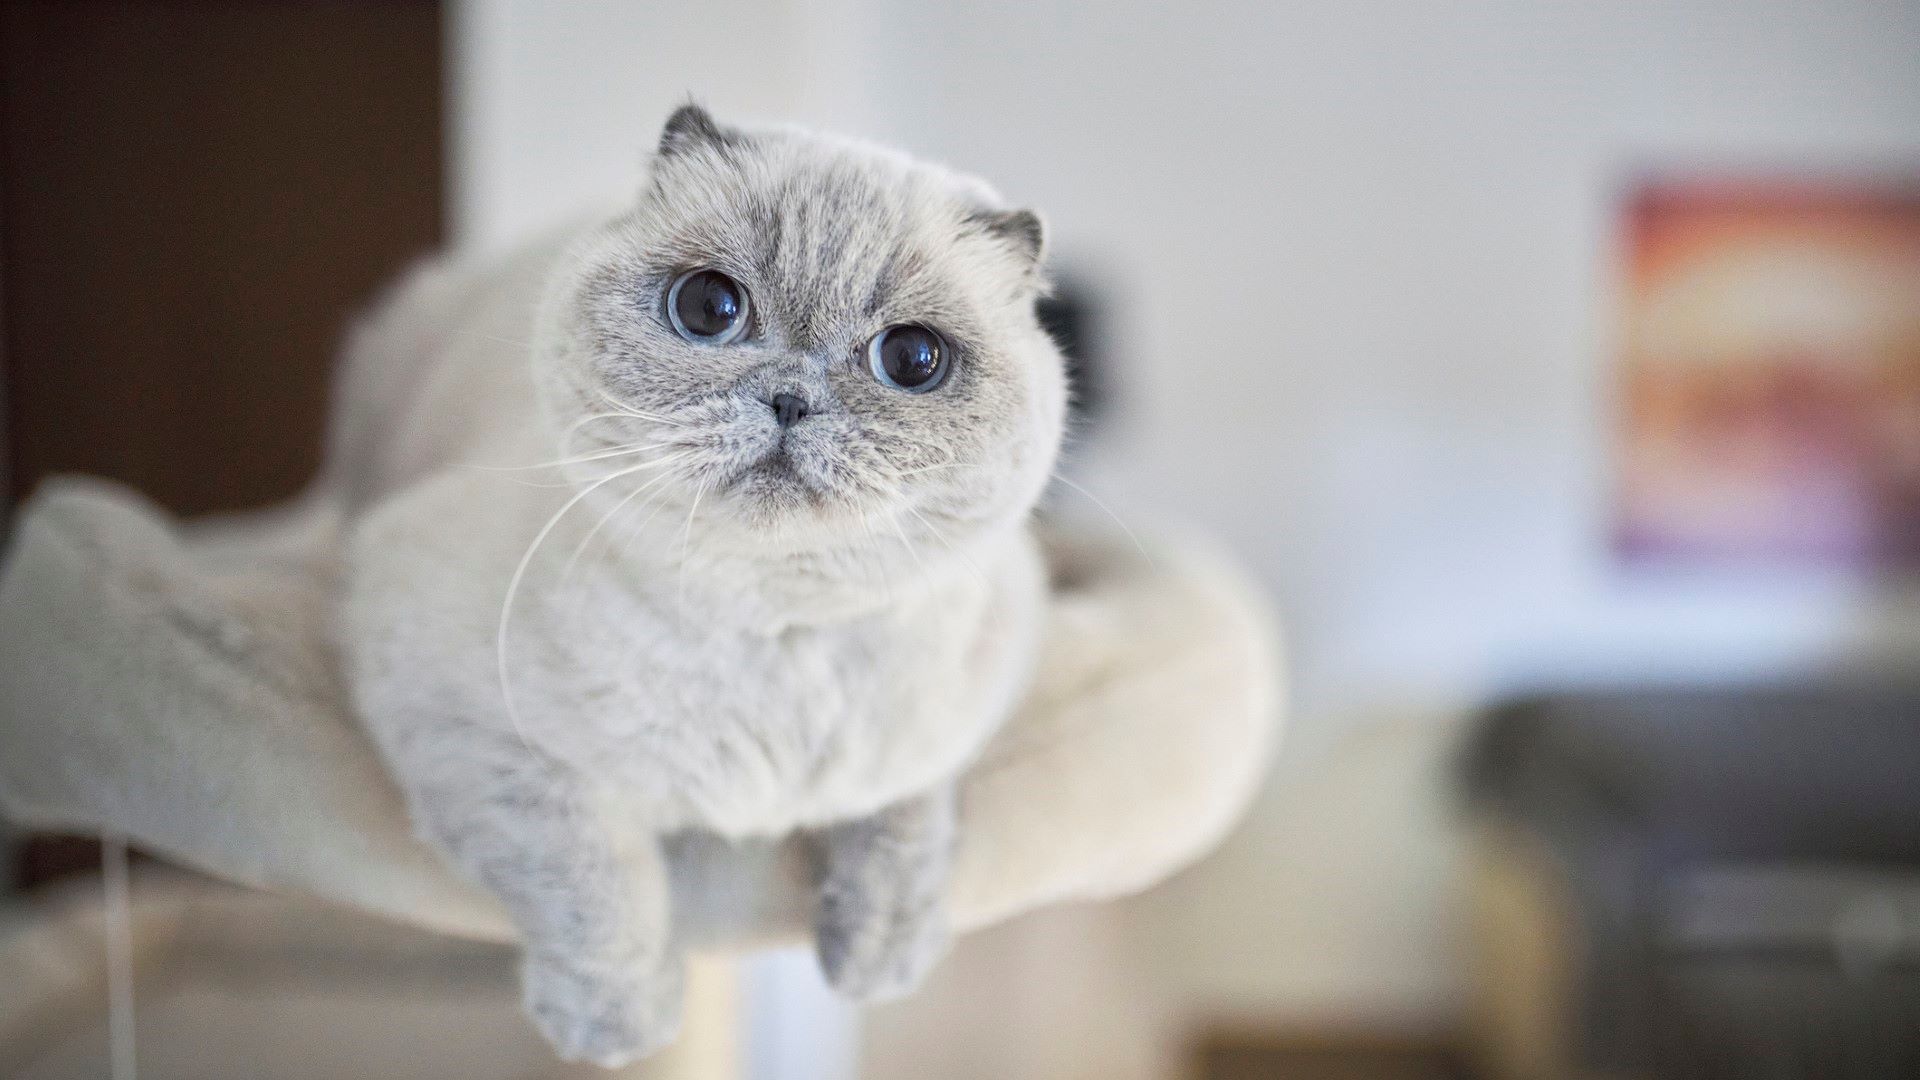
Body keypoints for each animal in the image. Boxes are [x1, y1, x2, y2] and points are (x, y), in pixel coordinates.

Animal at [337, 105, 1075, 1060]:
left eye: (913, 359)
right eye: (708, 308)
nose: (790, 399)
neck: (771, 640)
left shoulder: (962, 704)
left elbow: (902, 816)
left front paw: (877, 959)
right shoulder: (467, 727)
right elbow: (594, 880)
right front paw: (621, 1030)